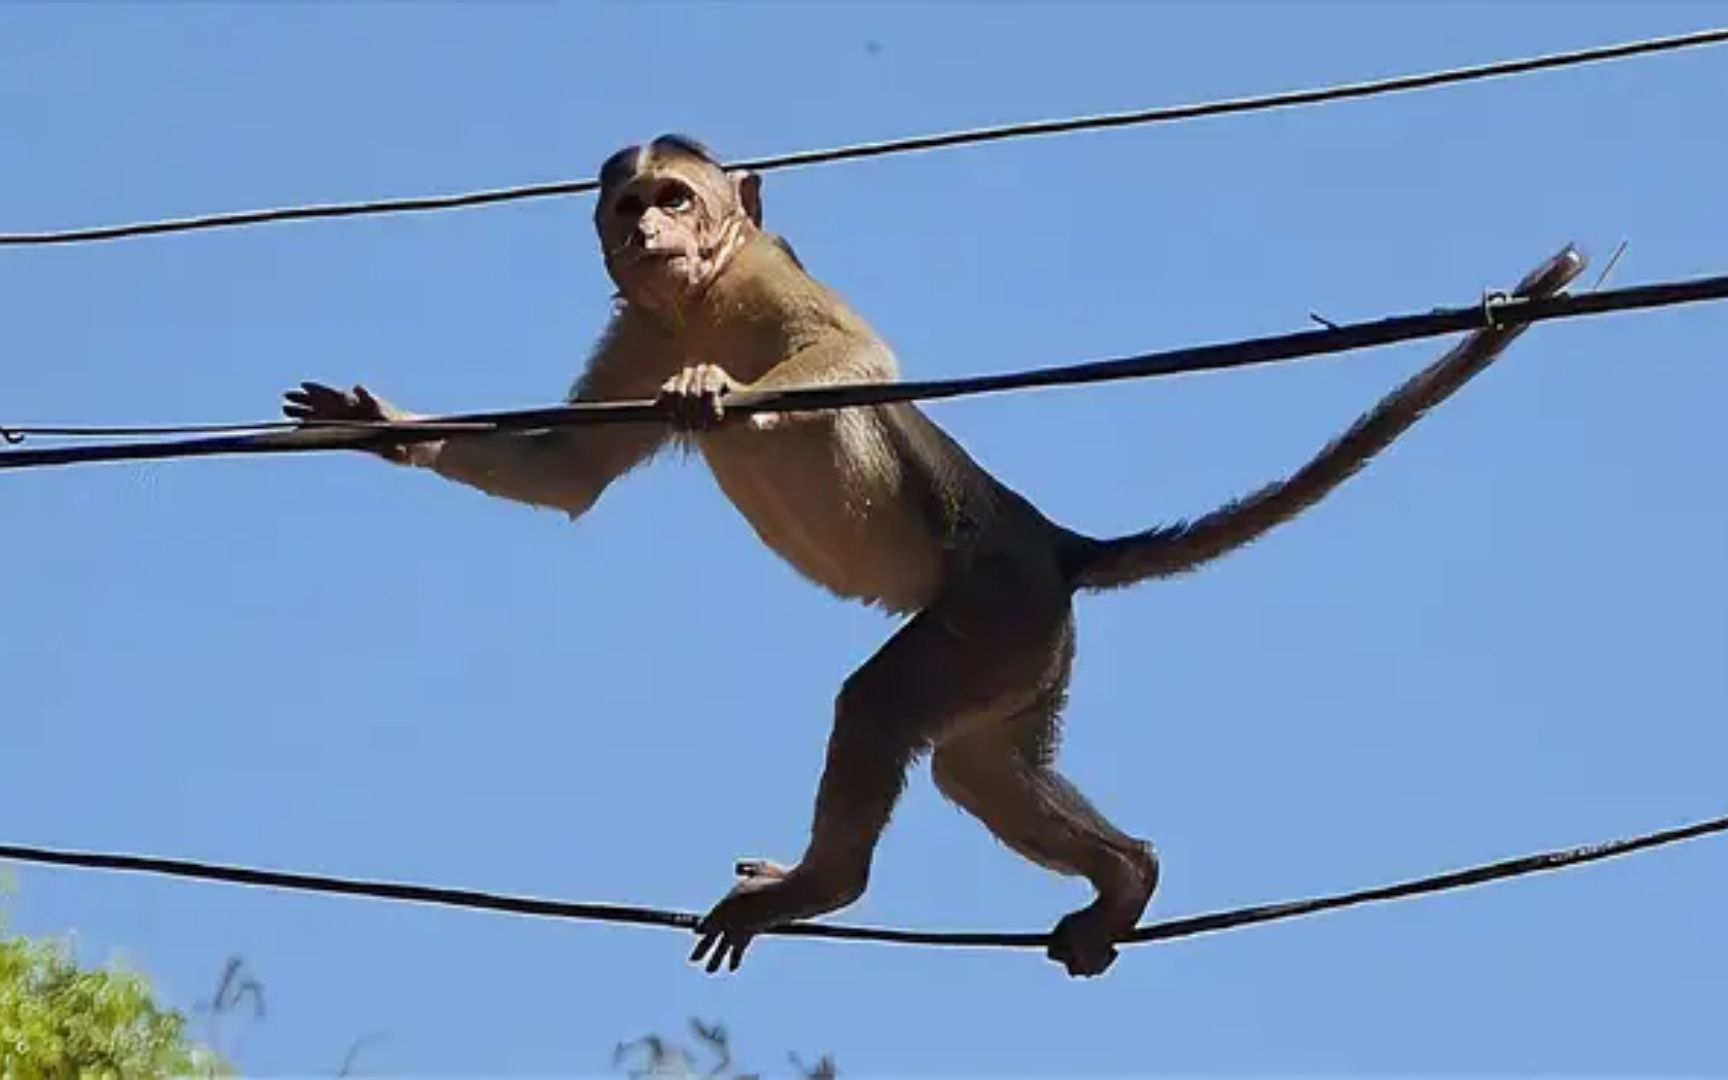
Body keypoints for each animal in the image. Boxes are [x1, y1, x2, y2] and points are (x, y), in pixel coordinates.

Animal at [286, 134, 1582, 974]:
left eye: (677, 196)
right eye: (630, 207)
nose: (651, 229)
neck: (699, 302)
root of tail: (1053, 543)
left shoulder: (768, 279)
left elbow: (853, 357)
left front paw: (714, 391)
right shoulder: (637, 324)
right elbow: (566, 472)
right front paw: (384, 428)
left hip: (990, 614)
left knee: (880, 707)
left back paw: (828, 887)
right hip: (1029, 658)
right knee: (977, 769)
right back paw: (1127, 877)